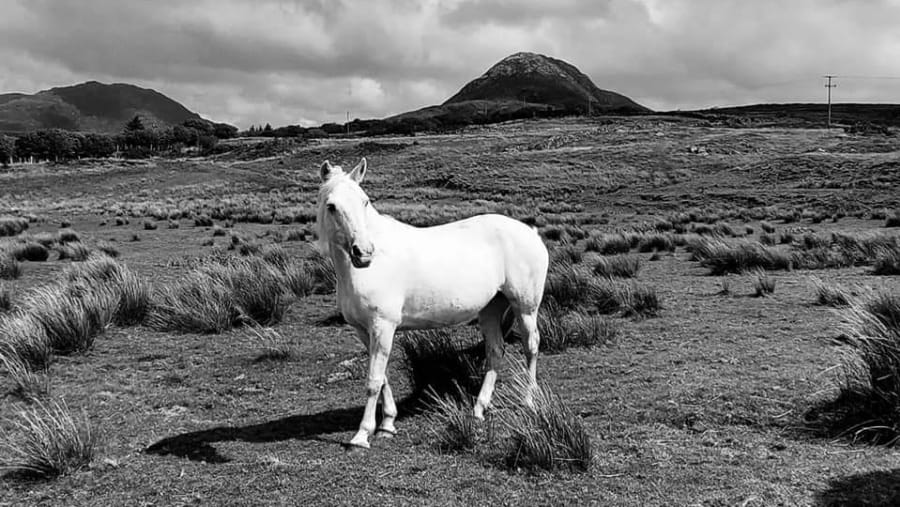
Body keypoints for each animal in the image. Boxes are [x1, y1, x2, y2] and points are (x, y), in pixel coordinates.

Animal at [316, 157, 549, 450]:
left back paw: (529, 402)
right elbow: (382, 378)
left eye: (364, 201)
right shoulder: (364, 330)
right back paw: (479, 409)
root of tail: (530, 232)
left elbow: (373, 381)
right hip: (491, 309)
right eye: (331, 206)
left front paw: (361, 435)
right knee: (495, 351)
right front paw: (387, 424)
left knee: (531, 347)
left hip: (525, 306)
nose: (364, 253)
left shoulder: (383, 326)